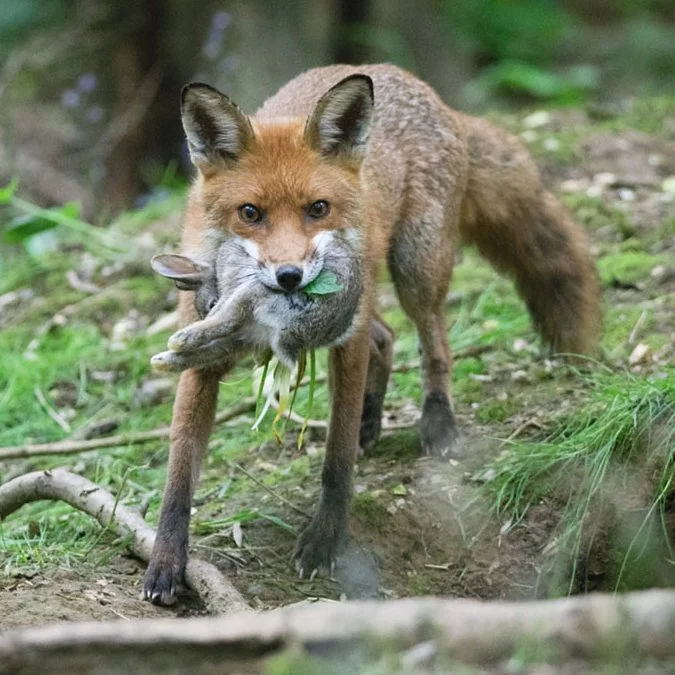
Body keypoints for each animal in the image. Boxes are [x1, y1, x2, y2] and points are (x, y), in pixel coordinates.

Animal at [143, 64, 601, 606]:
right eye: (250, 213)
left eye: (317, 208)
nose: (290, 277)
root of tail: (420, 87)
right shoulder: (204, 360)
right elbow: (178, 476)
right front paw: (166, 563)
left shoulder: (346, 339)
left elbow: (337, 460)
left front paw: (325, 538)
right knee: (387, 338)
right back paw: (372, 419)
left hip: (416, 270)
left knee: (433, 344)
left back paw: (436, 420)